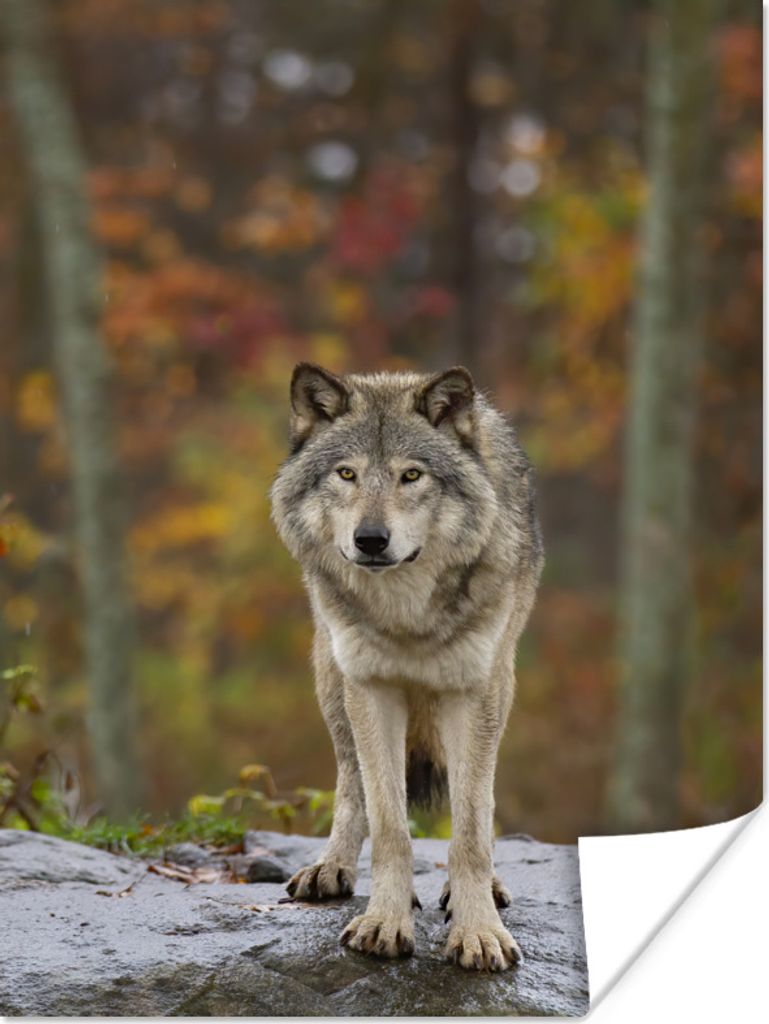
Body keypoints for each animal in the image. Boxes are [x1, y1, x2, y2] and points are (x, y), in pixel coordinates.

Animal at [270, 363, 544, 971]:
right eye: (347, 473)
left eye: (411, 475)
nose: (371, 539)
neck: (406, 616)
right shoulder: (371, 687)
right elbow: (390, 823)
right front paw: (385, 923)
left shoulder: (473, 691)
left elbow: (471, 827)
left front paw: (478, 931)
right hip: (332, 681)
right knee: (351, 784)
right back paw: (331, 867)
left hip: (504, 682)